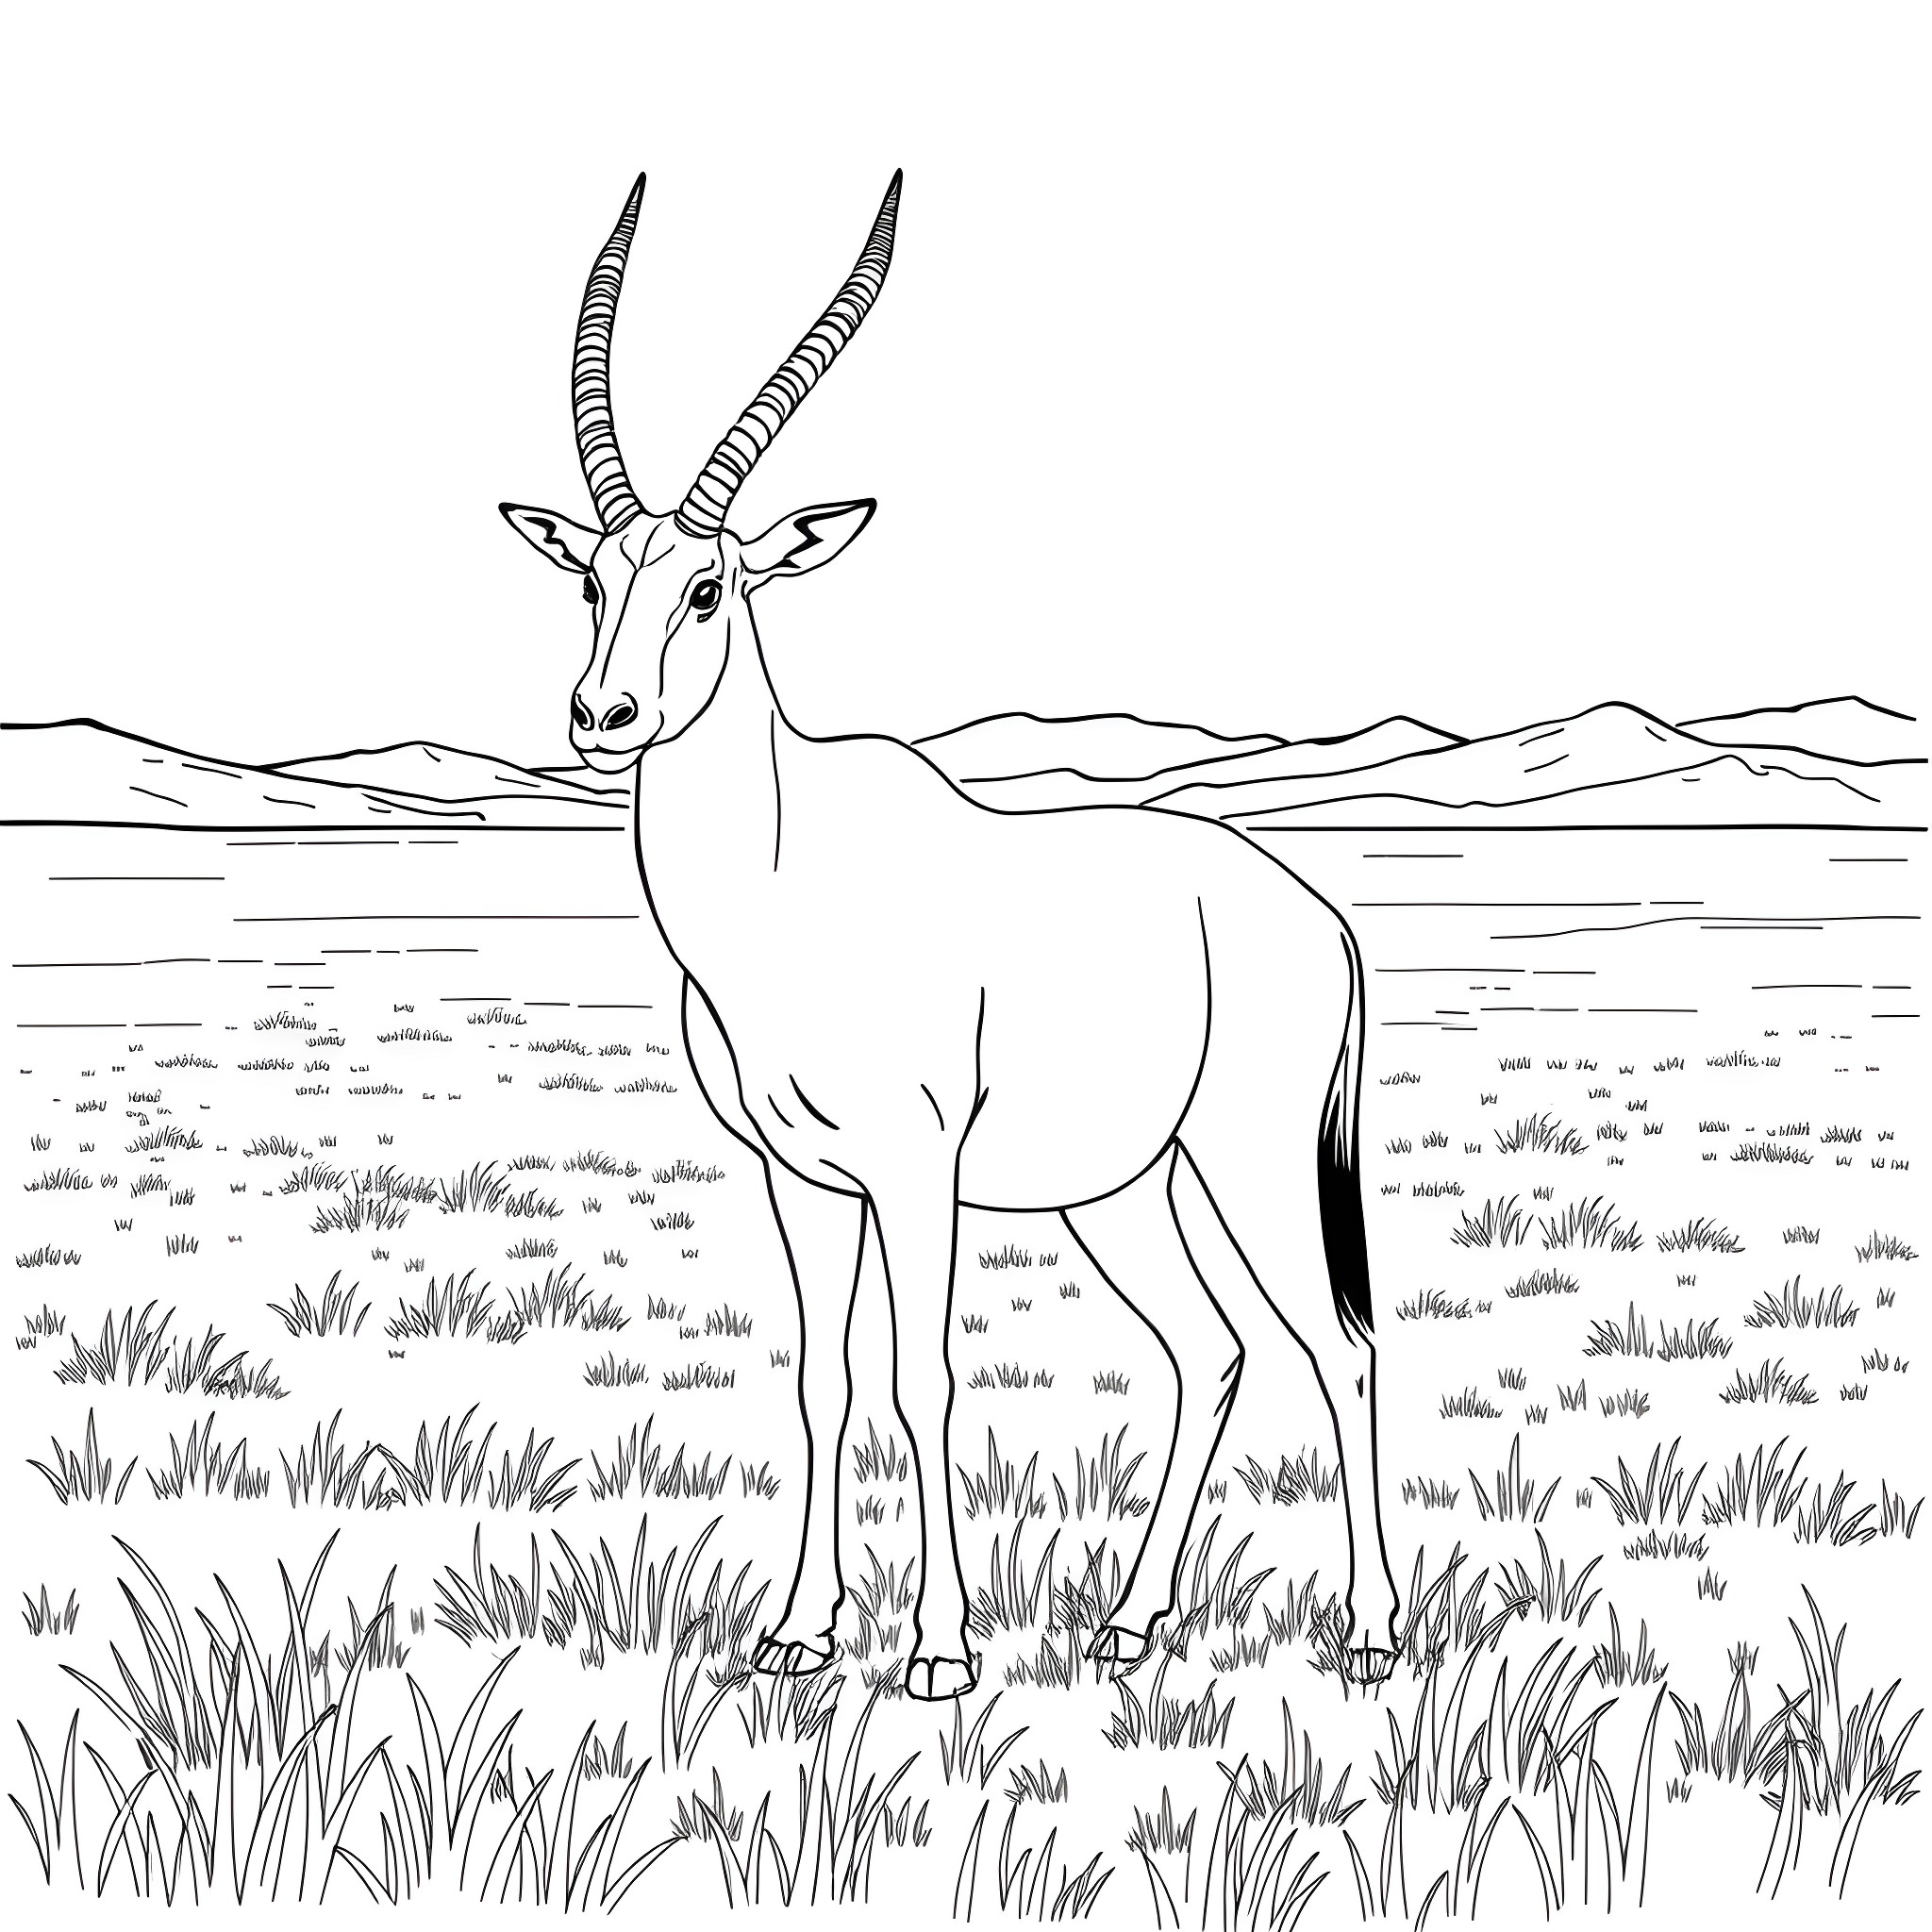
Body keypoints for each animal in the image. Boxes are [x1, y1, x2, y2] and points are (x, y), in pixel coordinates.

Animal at [501, 173, 1401, 1697]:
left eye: (710, 585)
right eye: (591, 579)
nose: (602, 715)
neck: (783, 881)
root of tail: (1315, 916)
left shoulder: (917, 1171)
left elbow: (921, 1377)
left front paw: (935, 1651)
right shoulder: (802, 1178)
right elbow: (825, 1379)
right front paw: (795, 1633)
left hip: (1251, 1155)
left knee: (1336, 1346)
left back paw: (1373, 1633)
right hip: (1120, 1191)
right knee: (1209, 1349)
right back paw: (1129, 1622)